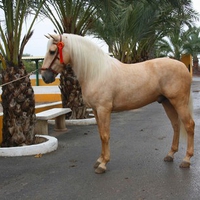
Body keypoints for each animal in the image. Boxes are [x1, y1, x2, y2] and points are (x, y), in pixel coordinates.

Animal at [39, 33, 195, 173]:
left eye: (52, 51)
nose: (45, 76)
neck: (96, 72)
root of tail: (183, 66)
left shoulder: (104, 109)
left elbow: (105, 135)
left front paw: (103, 164)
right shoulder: (96, 110)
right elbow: (100, 134)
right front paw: (100, 160)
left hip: (179, 102)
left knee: (189, 125)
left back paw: (186, 160)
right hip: (167, 102)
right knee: (176, 126)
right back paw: (170, 154)